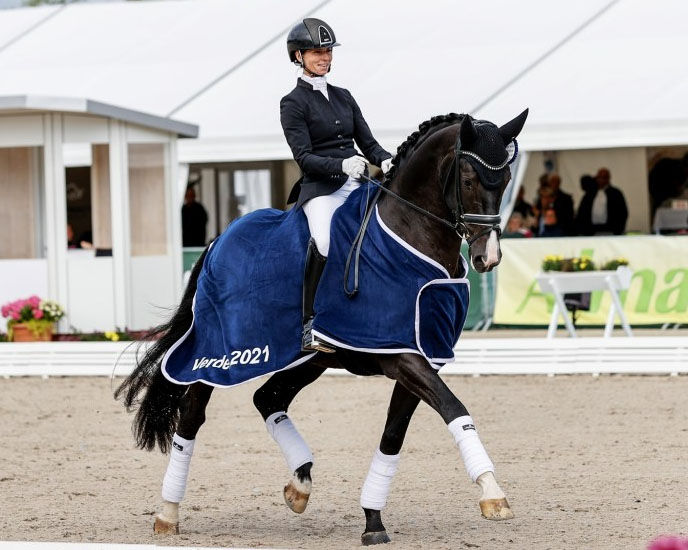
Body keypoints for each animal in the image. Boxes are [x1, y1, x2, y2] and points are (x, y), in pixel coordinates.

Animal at [117, 109, 528, 548]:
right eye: (467, 180)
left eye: (505, 179)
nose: (489, 257)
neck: (409, 234)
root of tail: (218, 240)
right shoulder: (401, 356)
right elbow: (455, 409)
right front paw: (492, 493)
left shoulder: (421, 357)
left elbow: (393, 435)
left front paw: (373, 520)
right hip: (214, 356)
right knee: (193, 415)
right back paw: (167, 513)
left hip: (311, 359)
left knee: (268, 398)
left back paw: (299, 485)